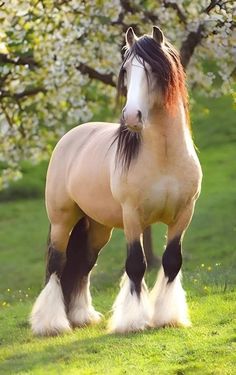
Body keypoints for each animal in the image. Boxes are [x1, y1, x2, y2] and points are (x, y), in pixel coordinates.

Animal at [30, 27, 202, 338]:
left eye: (154, 69)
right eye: (126, 70)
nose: (132, 116)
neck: (165, 158)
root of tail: (69, 138)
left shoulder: (183, 215)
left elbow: (172, 262)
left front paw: (168, 317)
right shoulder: (133, 216)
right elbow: (136, 265)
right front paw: (132, 321)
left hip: (98, 226)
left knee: (84, 264)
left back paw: (82, 316)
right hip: (63, 220)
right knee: (56, 264)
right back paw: (51, 324)